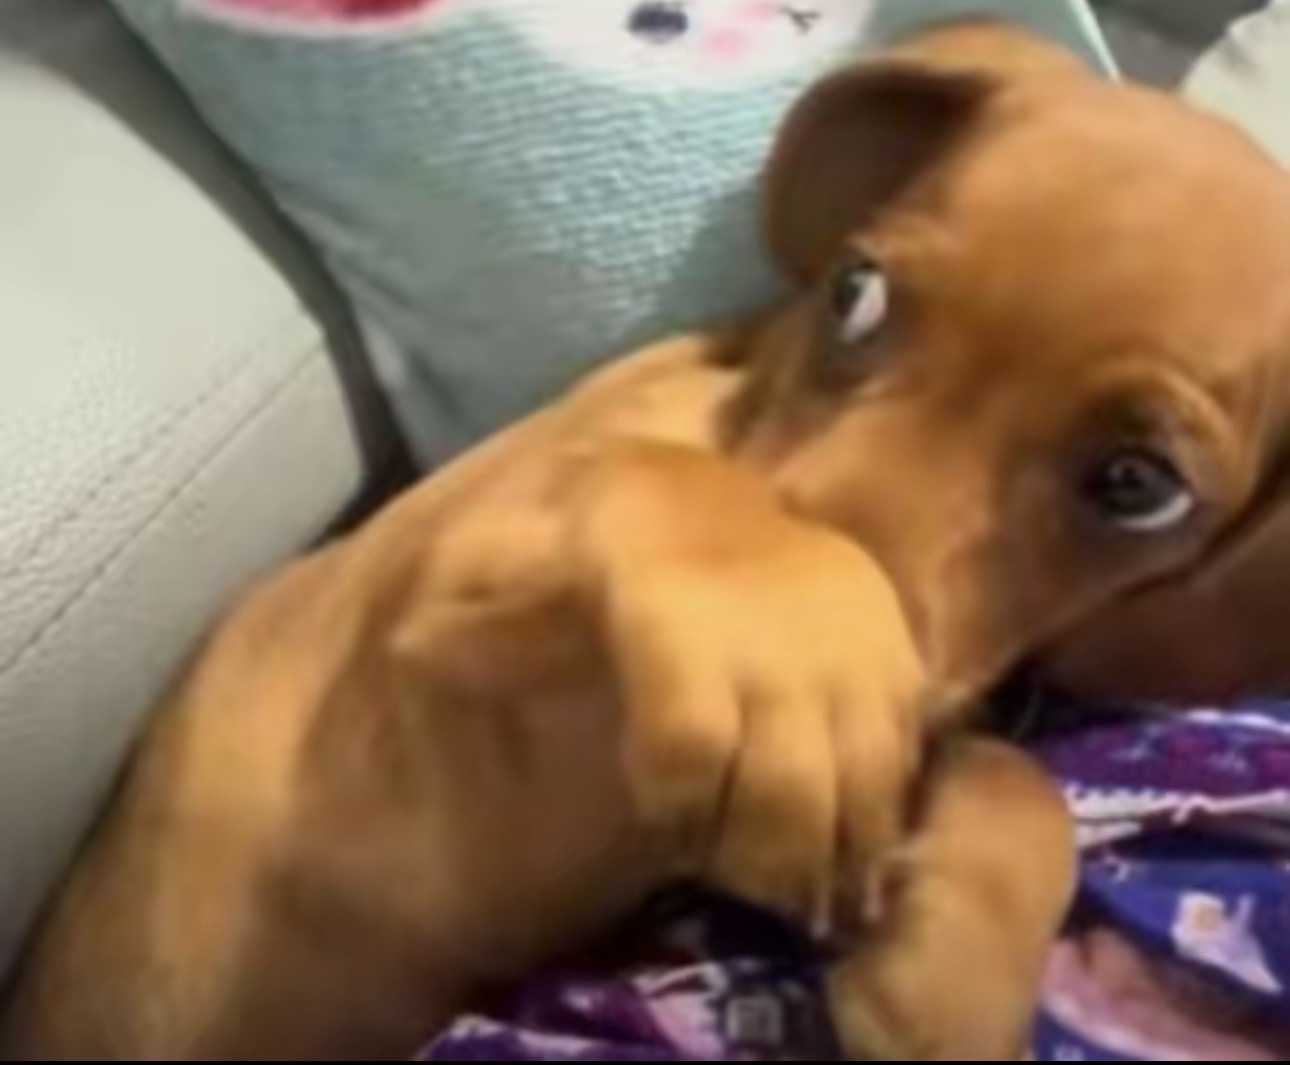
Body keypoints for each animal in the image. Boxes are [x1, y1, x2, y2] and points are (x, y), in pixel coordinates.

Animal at [8, 19, 1290, 1060]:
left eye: (1138, 485)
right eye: (855, 291)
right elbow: (666, 481)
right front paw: (796, 650)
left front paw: (957, 968)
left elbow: (1012, 776)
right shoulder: (413, 634)